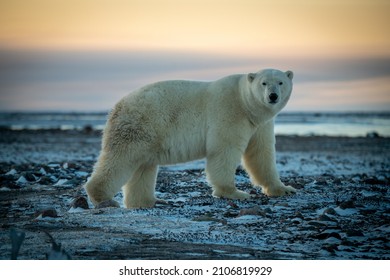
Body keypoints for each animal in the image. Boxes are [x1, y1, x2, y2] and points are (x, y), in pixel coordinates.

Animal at [85, 68, 298, 208]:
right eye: (264, 83)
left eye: (280, 82)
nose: (272, 96)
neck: (244, 103)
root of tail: (117, 105)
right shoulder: (229, 112)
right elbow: (224, 150)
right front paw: (234, 192)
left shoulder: (259, 124)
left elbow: (261, 153)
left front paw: (284, 188)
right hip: (140, 124)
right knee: (121, 158)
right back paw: (103, 197)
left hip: (148, 134)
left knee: (143, 166)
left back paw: (148, 201)